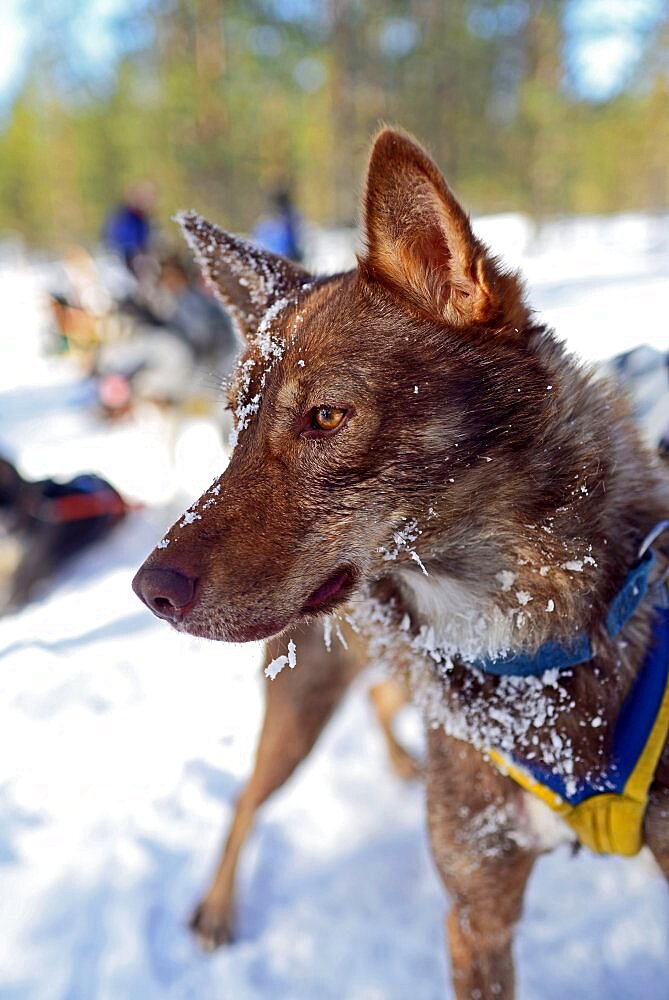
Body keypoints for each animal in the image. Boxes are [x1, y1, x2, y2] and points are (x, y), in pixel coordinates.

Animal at [133, 129, 668, 996]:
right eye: (236, 423)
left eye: (325, 417)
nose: (148, 589)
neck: (524, 643)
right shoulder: (476, 914)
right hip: (301, 703)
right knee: (247, 796)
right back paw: (216, 909)